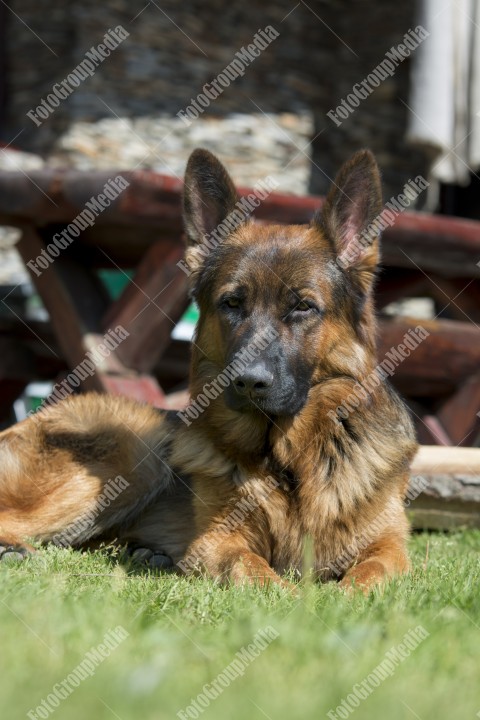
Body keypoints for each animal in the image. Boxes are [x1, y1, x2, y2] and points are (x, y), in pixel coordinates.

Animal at [0, 148, 416, 592]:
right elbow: (261, 575)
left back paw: (145, 553)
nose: (249, 381)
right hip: (137, 455)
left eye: (303, 307)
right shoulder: (218, 542)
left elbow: (369, 575)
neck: (287, 463)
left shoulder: (390, 546)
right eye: (232, 303)